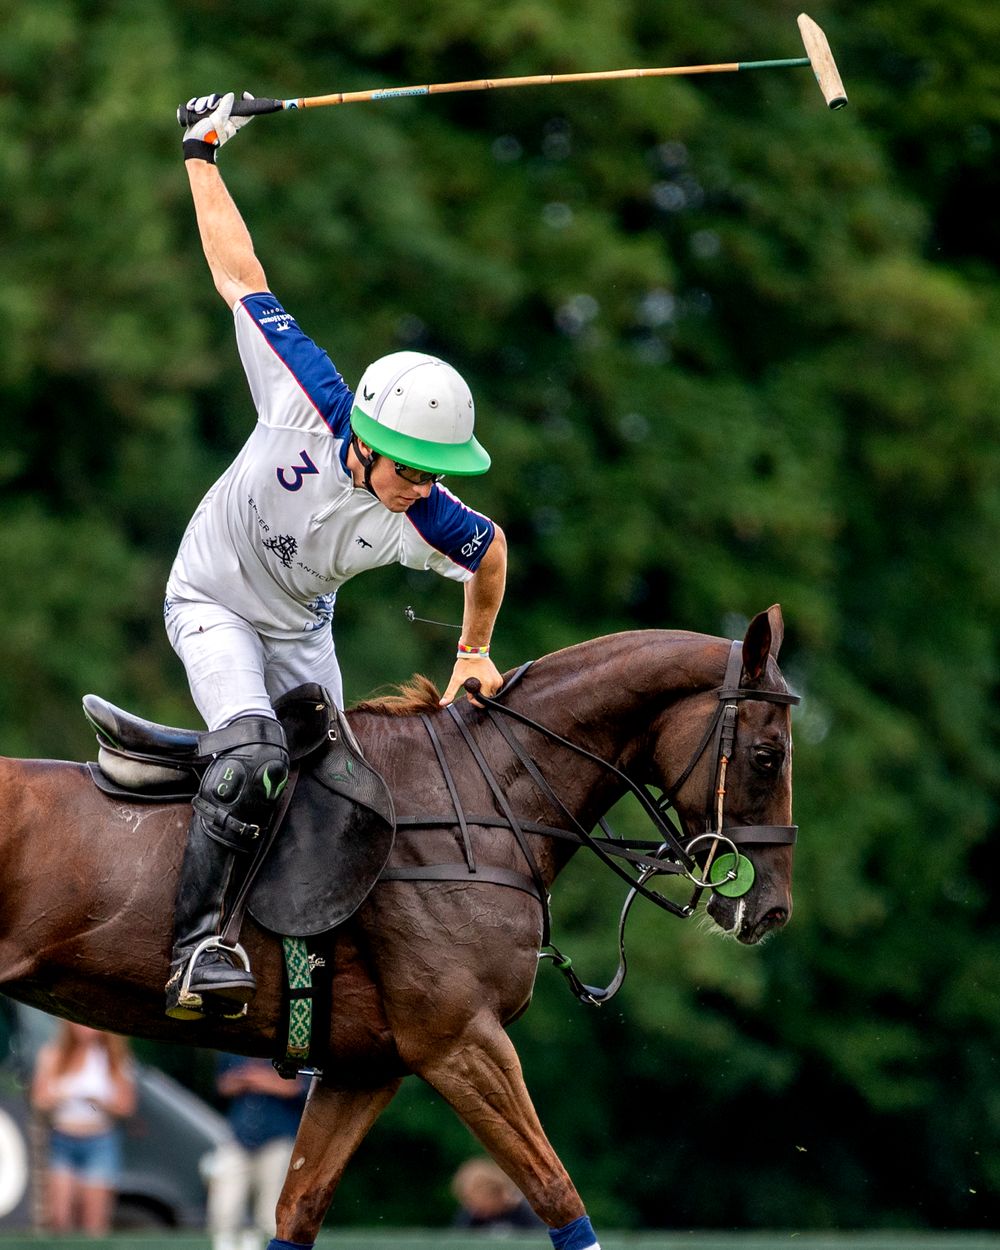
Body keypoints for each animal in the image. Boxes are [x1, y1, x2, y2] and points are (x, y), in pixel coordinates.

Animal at [0, 605, 798, 1247]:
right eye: (768, 756)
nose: (772, 909)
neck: (482, 799)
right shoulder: (460, 1040)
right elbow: (556, 1192)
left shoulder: (364, 1068)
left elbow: (298, 1209)